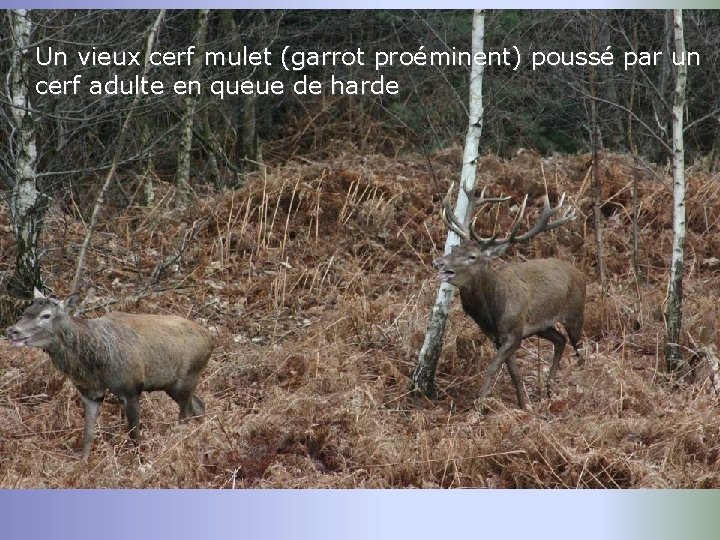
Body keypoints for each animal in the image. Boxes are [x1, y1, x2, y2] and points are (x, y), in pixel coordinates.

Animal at [7, 288, 213, 459]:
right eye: (26, 311)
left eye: (46, 315)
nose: (12, 330)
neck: (95, 364)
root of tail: (211, 339)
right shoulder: (90, 393)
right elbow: (88, 433)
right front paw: (82, 462)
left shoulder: (131, 389)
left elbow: (134, 433)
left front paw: (141, 462)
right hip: (173, 384)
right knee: (199, 405)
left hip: (186, 378)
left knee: (185, 415)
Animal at [433, 182, 586, 409]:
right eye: (454, 248)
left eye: (473, 256)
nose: (438, 262)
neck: (492, 313)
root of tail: (581, 275)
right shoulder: (499, 337)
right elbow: (515, 374)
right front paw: (524, 406)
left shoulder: (514, 332)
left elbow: (491, 368)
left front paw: (478, 407)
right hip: (542, 326)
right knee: (560, 340)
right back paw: (549, 389)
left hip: (575, 313)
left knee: (581, 350)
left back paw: (585, 386)